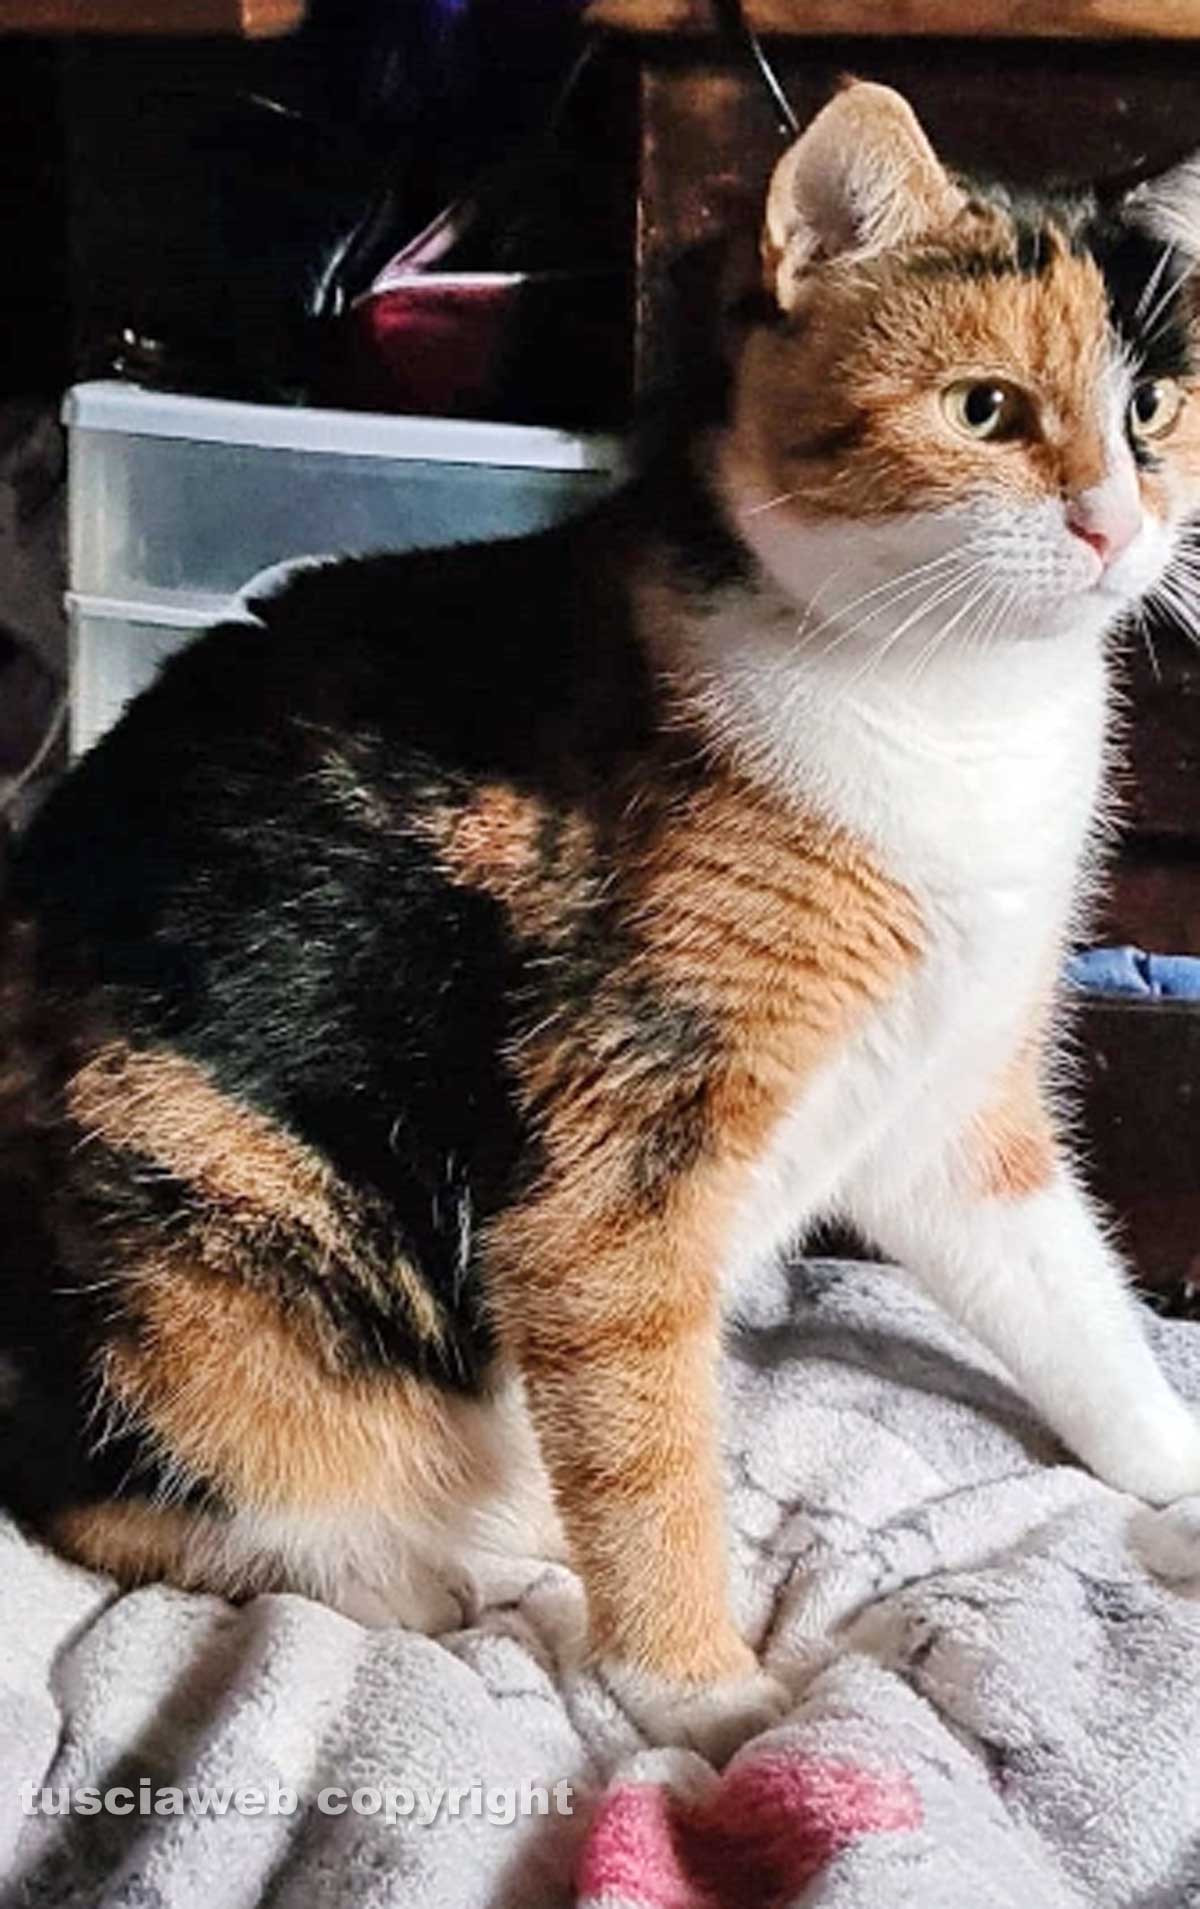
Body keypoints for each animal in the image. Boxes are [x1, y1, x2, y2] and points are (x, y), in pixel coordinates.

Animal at [3, 80, 1200, 1765]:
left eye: (1150, 410)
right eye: (984, 411)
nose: (1111, 520)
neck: (960, 716)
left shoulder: (955, 1105)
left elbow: (1081, 1309)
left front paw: (1180, 1472)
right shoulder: (615, 1168)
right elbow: (642, 1456)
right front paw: (707, 1701)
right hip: (194, 1249)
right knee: (133, 1508)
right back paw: (423, 1572)